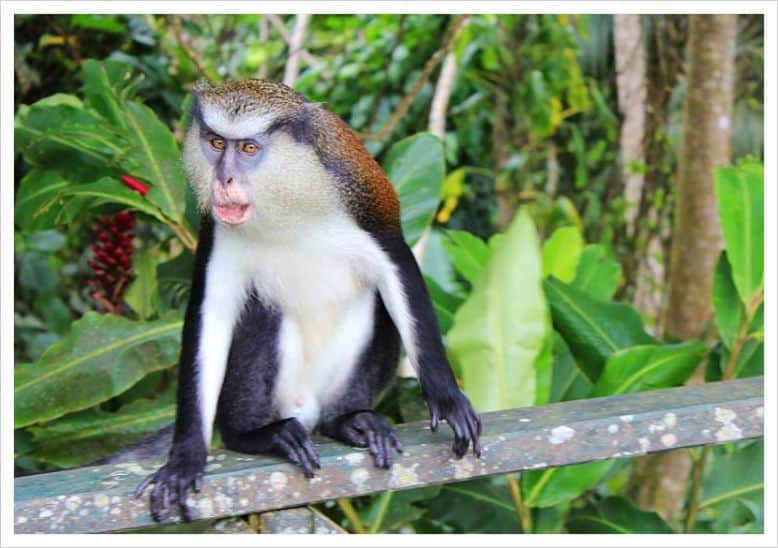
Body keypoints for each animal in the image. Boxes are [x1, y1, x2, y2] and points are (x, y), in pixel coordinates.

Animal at [135, 80, 482, 522]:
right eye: (216, 143)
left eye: (249, 148)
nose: (223, 179)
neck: (286, 201)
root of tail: (308, 410)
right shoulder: (216, 231)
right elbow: (210, 318)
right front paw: (184, 458)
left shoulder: (363, 206)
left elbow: (397, 271)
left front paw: (447, 398)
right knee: (261, 311)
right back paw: (257, 435)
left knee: (375, 304)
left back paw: (349, 422)